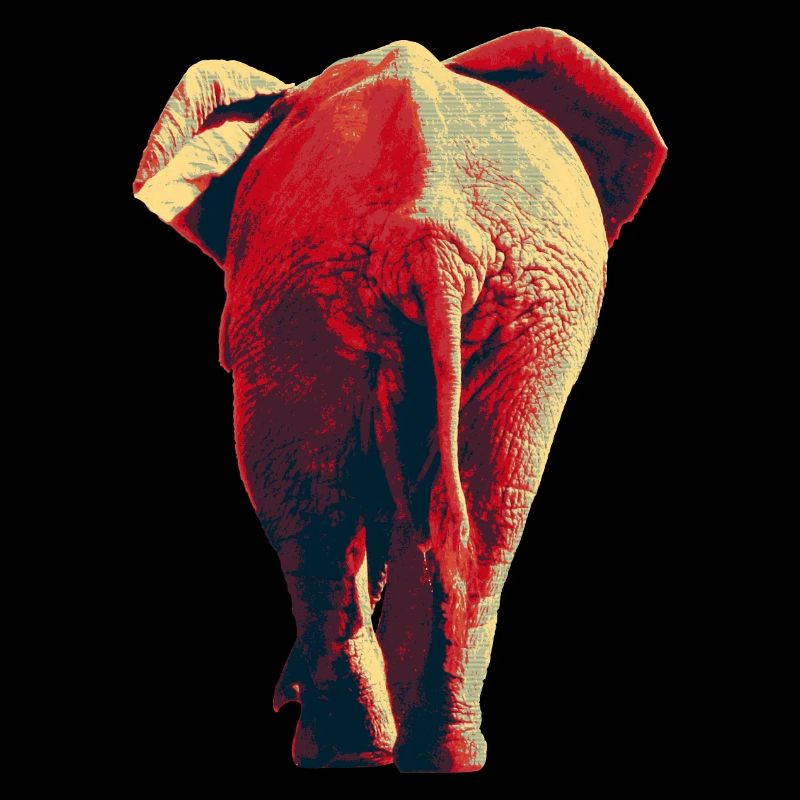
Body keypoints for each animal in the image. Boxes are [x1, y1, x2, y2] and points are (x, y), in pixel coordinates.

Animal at [133, 28, 666, 772]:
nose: (279, 697)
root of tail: (432, 231)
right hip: (491, 296)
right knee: (483, 501)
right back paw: (427, 755)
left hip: (331, 287)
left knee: (315, 498)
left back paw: (343, 754)